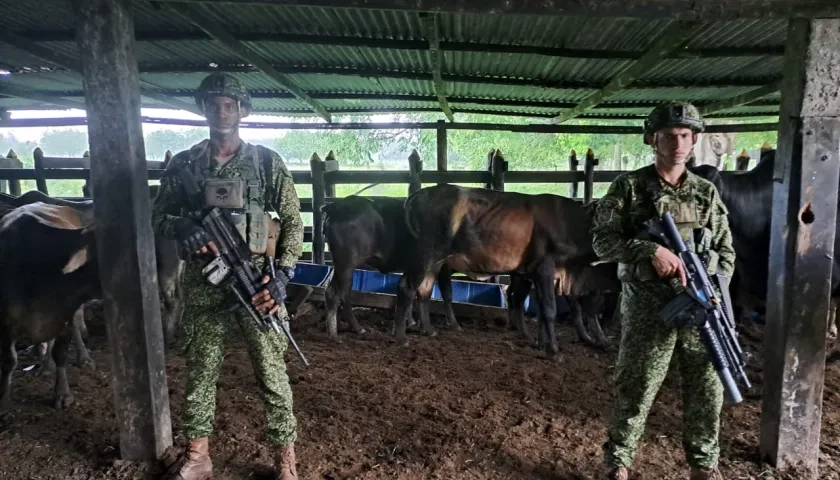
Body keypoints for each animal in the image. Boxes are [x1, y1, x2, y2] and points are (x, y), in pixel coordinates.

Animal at [0, 202, 101, 408]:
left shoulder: (65, 315)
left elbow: (60, 353)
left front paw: (62, 393)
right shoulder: (4, 321)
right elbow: (9, 360)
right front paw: (4, 398)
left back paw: (82, 358)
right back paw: (45, 363)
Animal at [392, 184, 616, 360]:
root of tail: (424, 191)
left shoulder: (532, 273)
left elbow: (540, 311)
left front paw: (539, 343)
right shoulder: (545, 267)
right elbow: (549, 310)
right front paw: (554, 351)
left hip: (436, 261)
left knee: (425, 290)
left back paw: (429, 330)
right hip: (426, 254)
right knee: (407, 287)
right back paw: (401, 338)